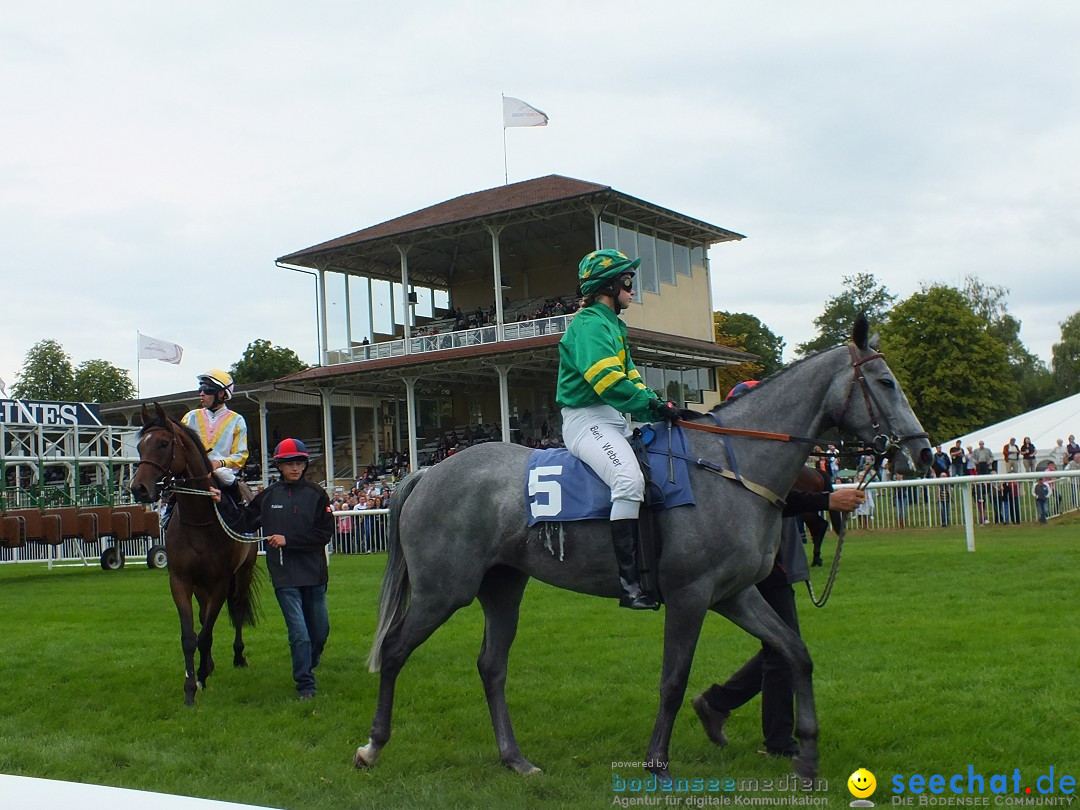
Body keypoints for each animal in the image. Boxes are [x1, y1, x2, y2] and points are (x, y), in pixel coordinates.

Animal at [127, 403, 258, 708]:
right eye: (139, 446)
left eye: (163, 444)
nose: (138, 488)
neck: (198, 522)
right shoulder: (181, 581)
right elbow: (191, 636)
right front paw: (191, 686)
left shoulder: (220, 582)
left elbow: (206, 634)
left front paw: (200, 678)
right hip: (201, 585)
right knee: (203, 615)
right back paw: (207, 665)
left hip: (242, 573)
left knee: (237, 608)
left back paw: (238, 655)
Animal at [352, 315, 928, 781]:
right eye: (885, 382)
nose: (920, 451)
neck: (728, 467)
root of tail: (426, 471)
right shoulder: (691, 596)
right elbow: (673, 680)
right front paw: (656, 760)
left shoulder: (734, 595)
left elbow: (795, 654)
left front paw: (806, 756)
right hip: (442, 591)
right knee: (395, 650)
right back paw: (373, 747)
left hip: (502, 586)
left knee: (492, 666)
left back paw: (514, 758)